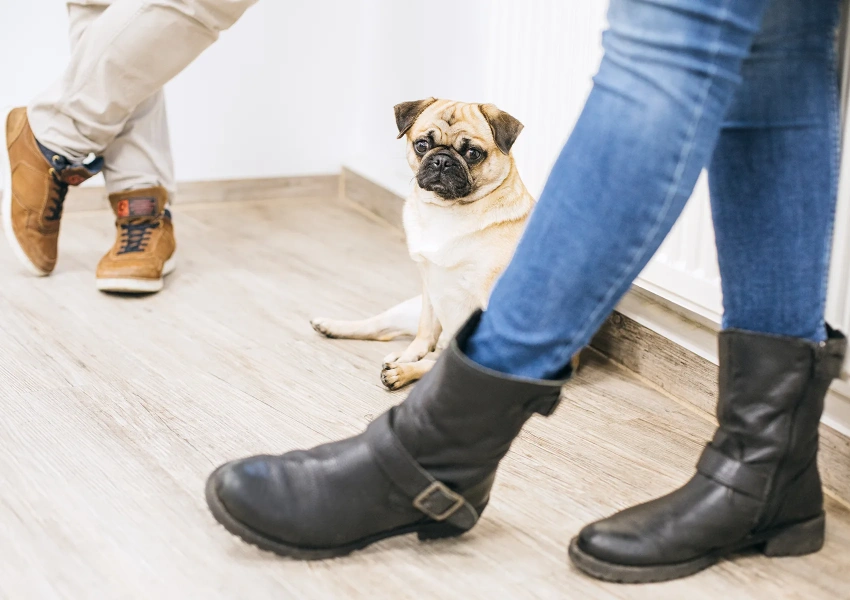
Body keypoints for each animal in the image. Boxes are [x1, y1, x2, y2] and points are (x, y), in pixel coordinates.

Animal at [314, 98, 584, 390]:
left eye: (473, 153)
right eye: (422, 145)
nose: (442, 160)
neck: (447, 210)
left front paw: (406, 369)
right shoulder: (429, 285)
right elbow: (423, 333)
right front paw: (408, 356)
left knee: (431, 357)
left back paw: (401, 370)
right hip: (408, 309)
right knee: (384, 330)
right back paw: (335, 327)